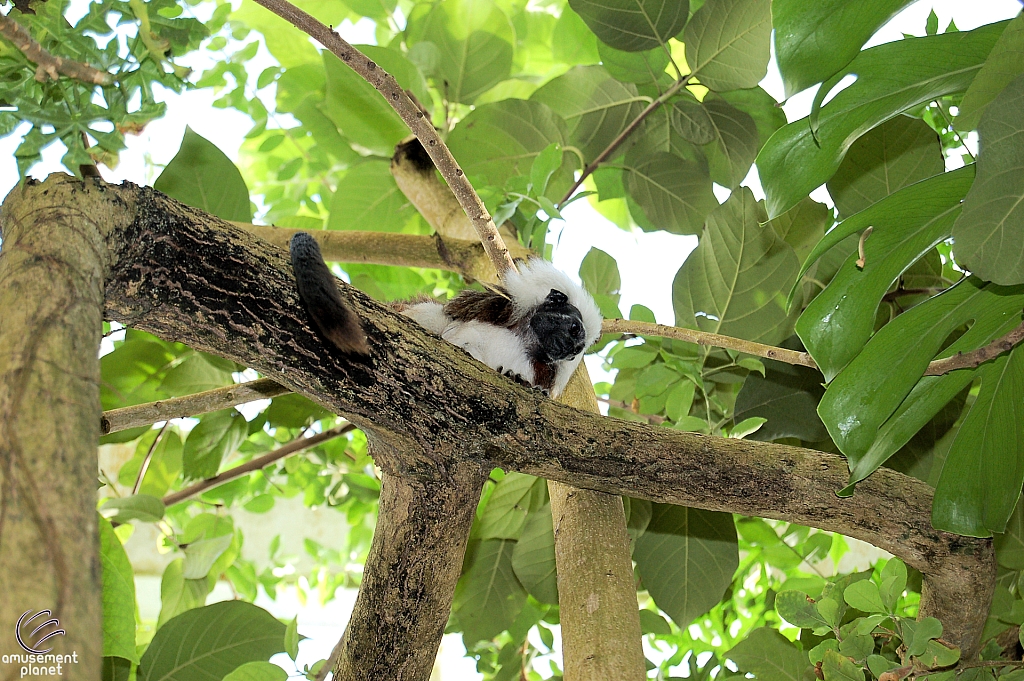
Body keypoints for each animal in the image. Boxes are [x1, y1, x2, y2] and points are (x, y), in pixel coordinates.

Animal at [288, 232, 602, 399]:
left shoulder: (540, 369)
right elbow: (457, 336)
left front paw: (518, 380)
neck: (525, 340)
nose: (574, 348)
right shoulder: (494, 309)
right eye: (575, 330)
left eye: (578, 351)